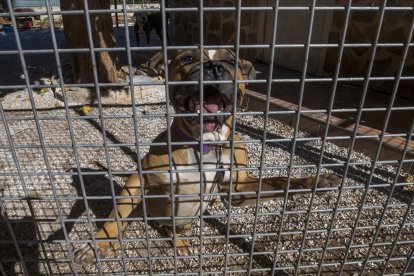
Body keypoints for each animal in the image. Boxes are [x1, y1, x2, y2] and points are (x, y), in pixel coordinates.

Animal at [74, 48, 340, 262]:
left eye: (231, 61)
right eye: (188, 58)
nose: (214, 67)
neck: (207, 144)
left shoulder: (238, 189)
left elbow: (281, 181)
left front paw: (315, 181)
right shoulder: (139, 180)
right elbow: (115, 218)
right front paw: (97, 245)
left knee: (173, 229)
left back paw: (180, 243)